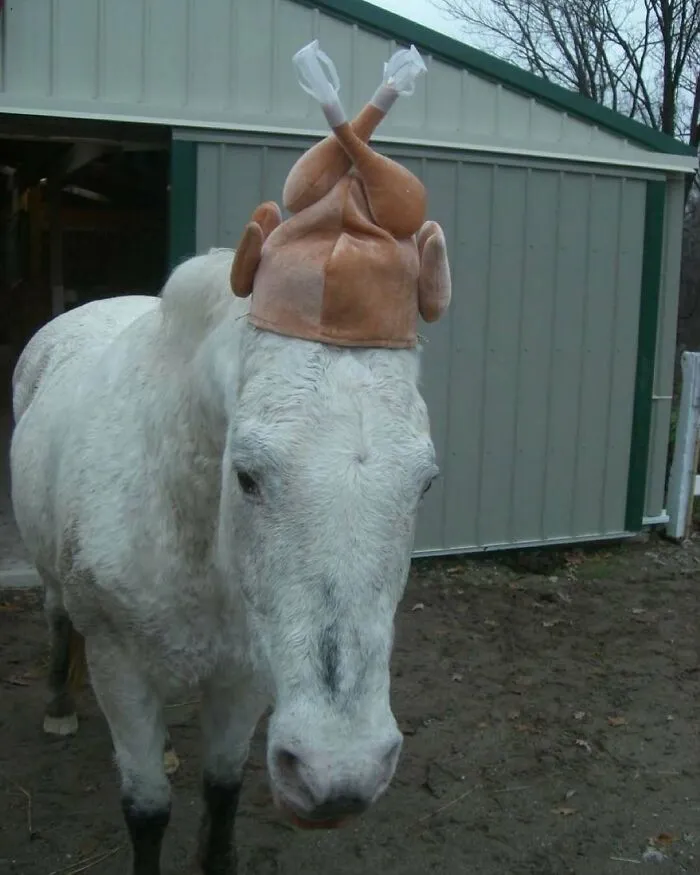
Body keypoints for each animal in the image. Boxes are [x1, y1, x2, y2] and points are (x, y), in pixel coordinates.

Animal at [9, 246, 441, 874]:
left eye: (426, 484)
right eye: (246, 475)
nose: (338, 774)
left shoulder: (246, 677)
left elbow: (222, 791)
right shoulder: (120, 671)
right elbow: (147, 810)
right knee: (57, 616)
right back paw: (59, 707)